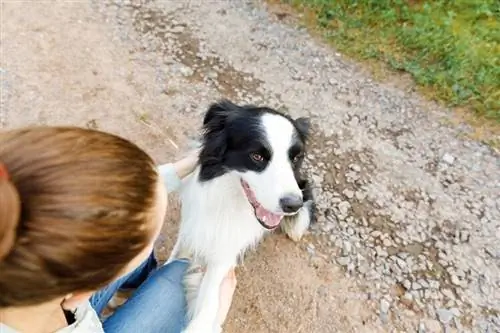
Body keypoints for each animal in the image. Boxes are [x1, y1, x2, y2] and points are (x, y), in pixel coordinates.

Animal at [168, 100, 316, 330]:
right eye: (257, 156)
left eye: (295, 158)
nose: (292, 205)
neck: (229, 202)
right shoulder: (192, 228)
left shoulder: (225, 252)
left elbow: (208, 303)